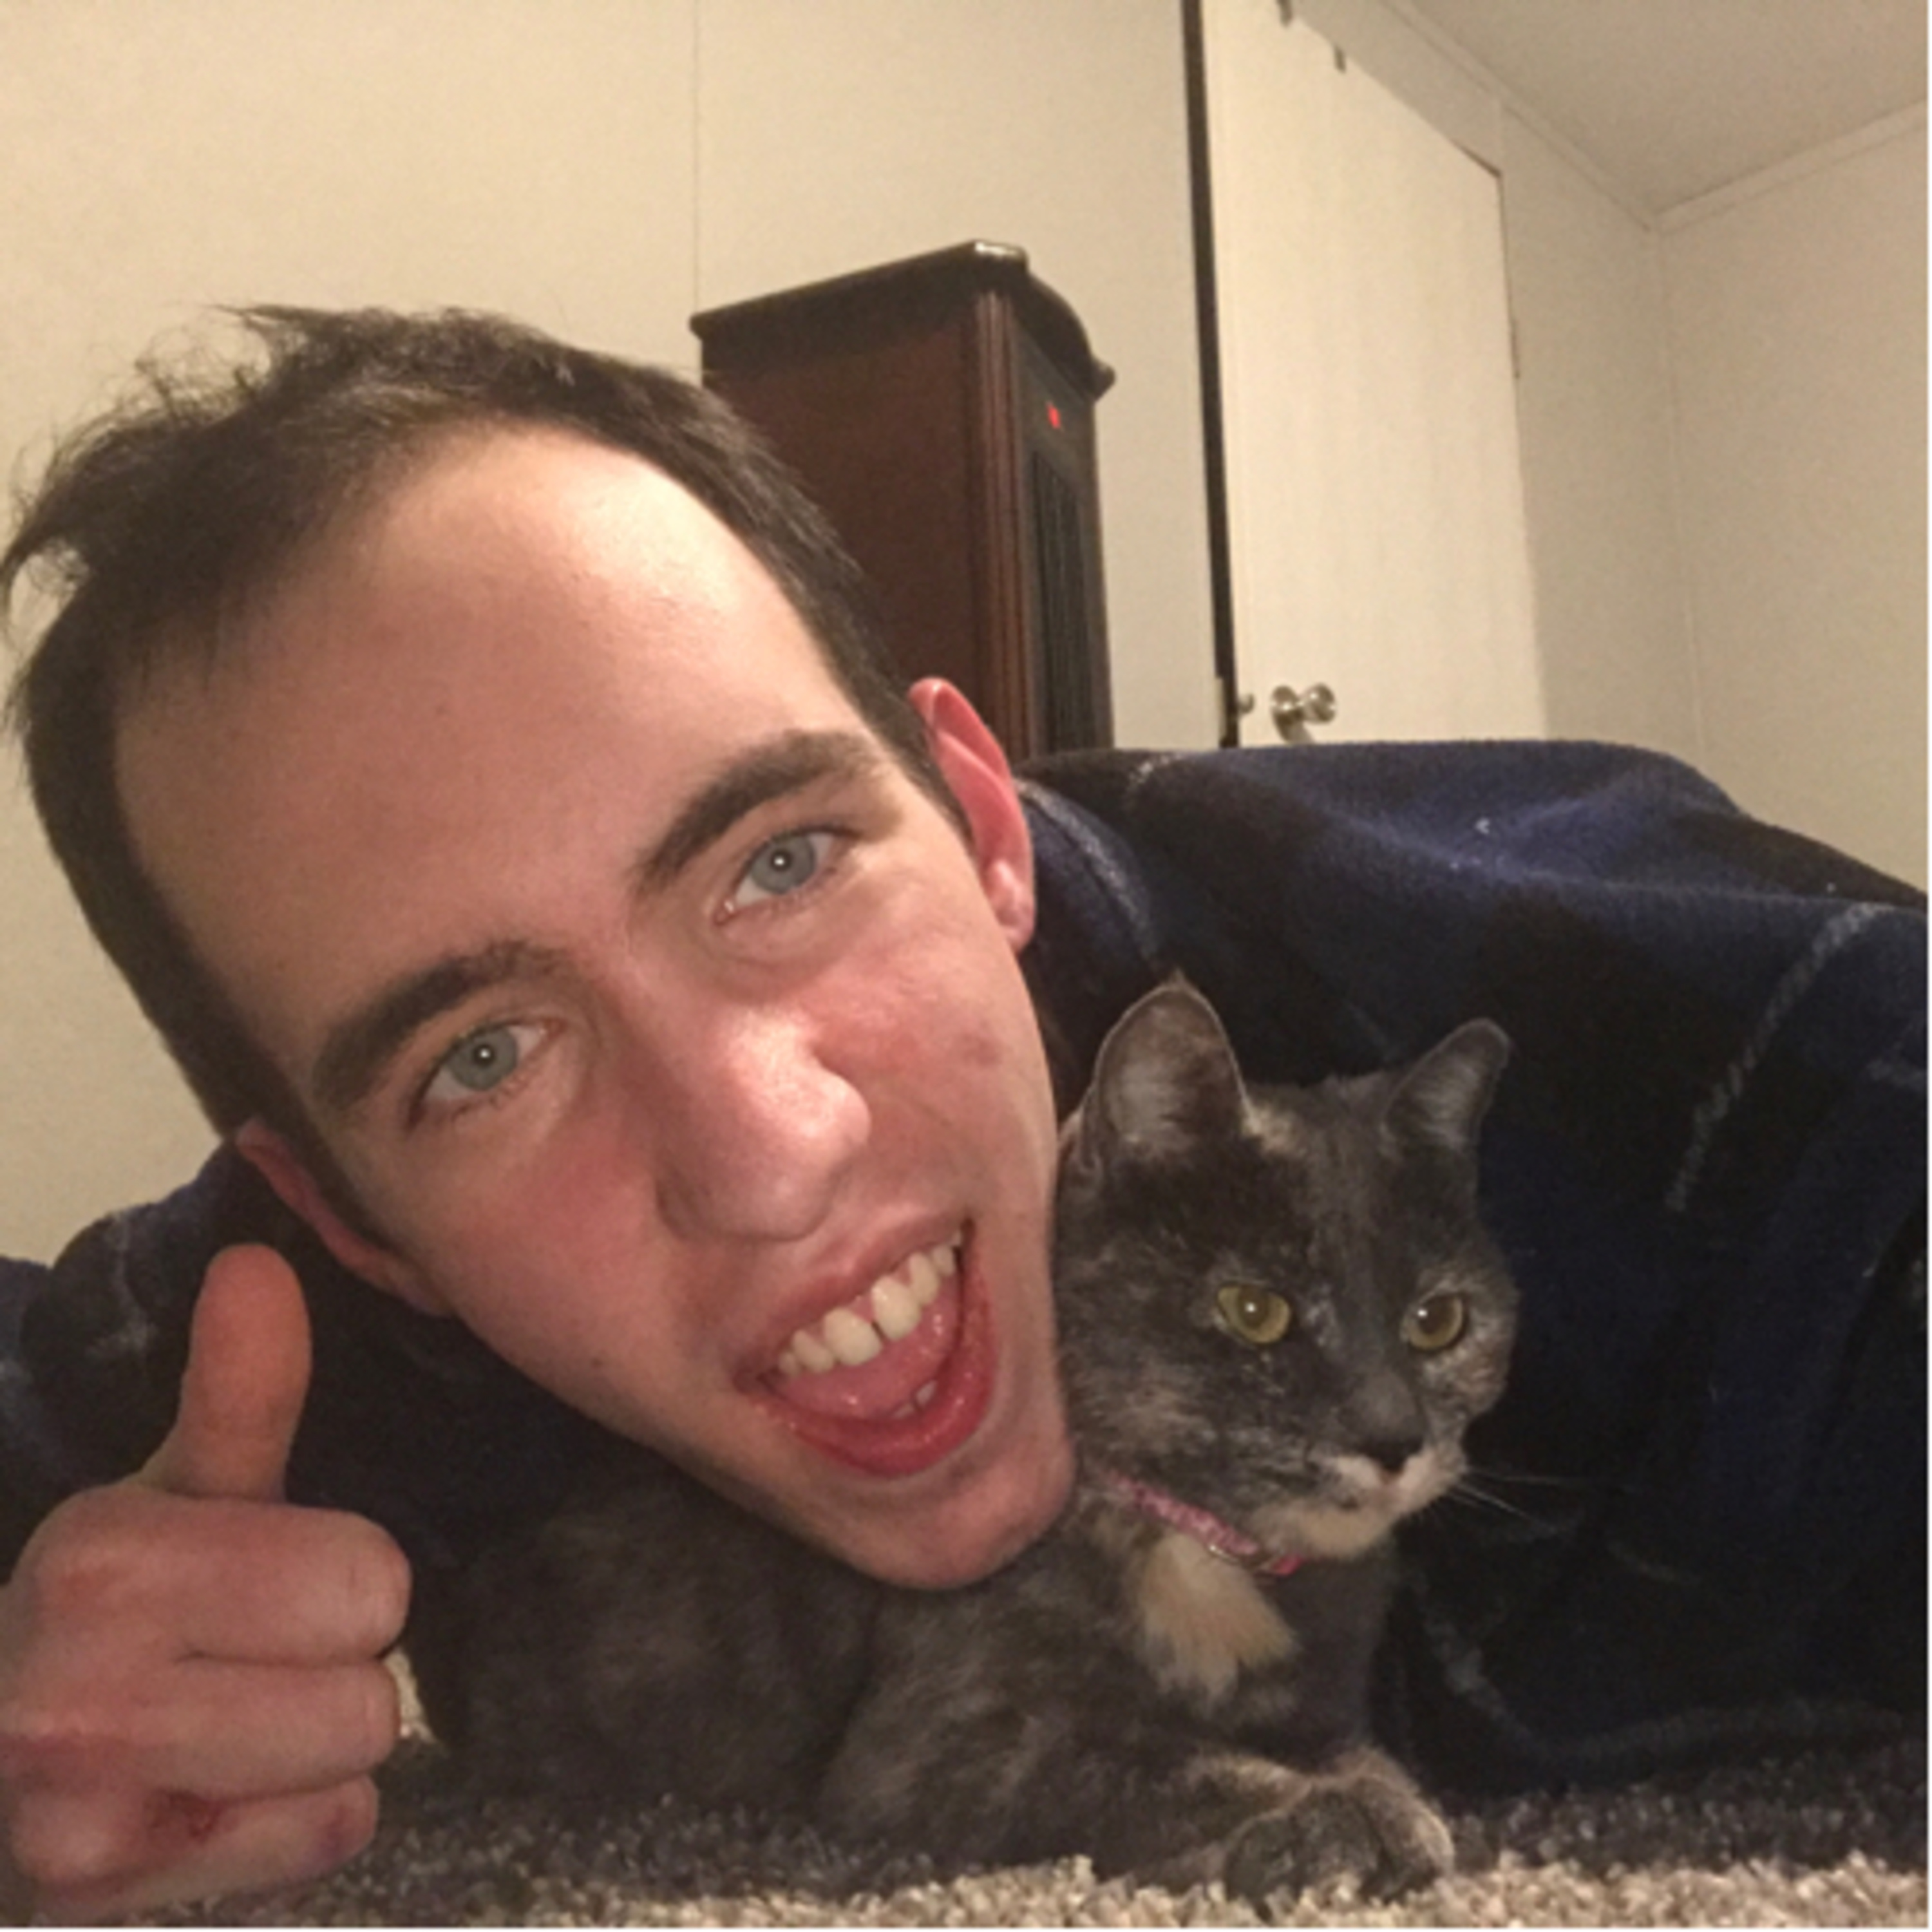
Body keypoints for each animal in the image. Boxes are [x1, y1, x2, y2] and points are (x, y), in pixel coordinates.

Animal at [407, 980, 1516, 1903]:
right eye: (1256, 1310)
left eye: (1439, 1323)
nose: (1392, 1433)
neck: (1200, 1556)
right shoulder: (942, 1747)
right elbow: (1152, 1760)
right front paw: (1328, 1815)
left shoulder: (1321, 1697)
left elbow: (1353, 1748)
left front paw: (1381, 1796)